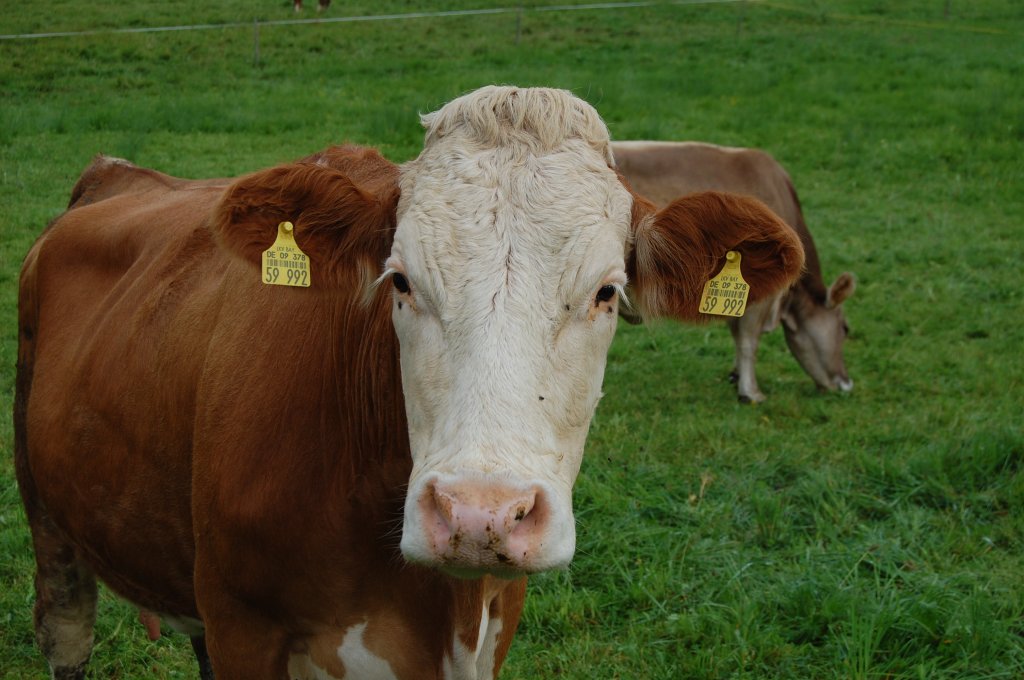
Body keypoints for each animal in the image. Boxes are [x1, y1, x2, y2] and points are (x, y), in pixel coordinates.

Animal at [12, 86, 802, 680]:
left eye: (607, 293)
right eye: (400, 281)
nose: (480, 515)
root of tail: (115, 174)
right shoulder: (243, 624)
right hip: (51, 527)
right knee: (66, 632)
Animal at [610, 140, 860, 401]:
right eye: (845, 328)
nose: (846, 383)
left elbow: (737, 332)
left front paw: (737, 376)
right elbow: (749, 339)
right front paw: (751, 393)